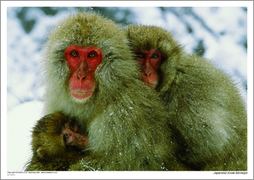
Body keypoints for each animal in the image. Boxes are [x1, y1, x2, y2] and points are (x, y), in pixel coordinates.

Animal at [125, 24, 246, 171]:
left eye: (154, 56)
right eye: (140, 55)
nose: (147, 73)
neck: (172, 79)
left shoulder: (188, 91)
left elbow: (210, 141)